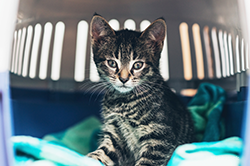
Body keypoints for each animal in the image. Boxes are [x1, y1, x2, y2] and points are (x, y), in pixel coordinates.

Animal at [87, 14, 194, 166]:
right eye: (112, 63)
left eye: (138, 65)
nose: (124, 79)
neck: (124, 101)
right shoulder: (115, 135)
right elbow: (103, 153)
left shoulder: (160, 139)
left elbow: (147, 162)